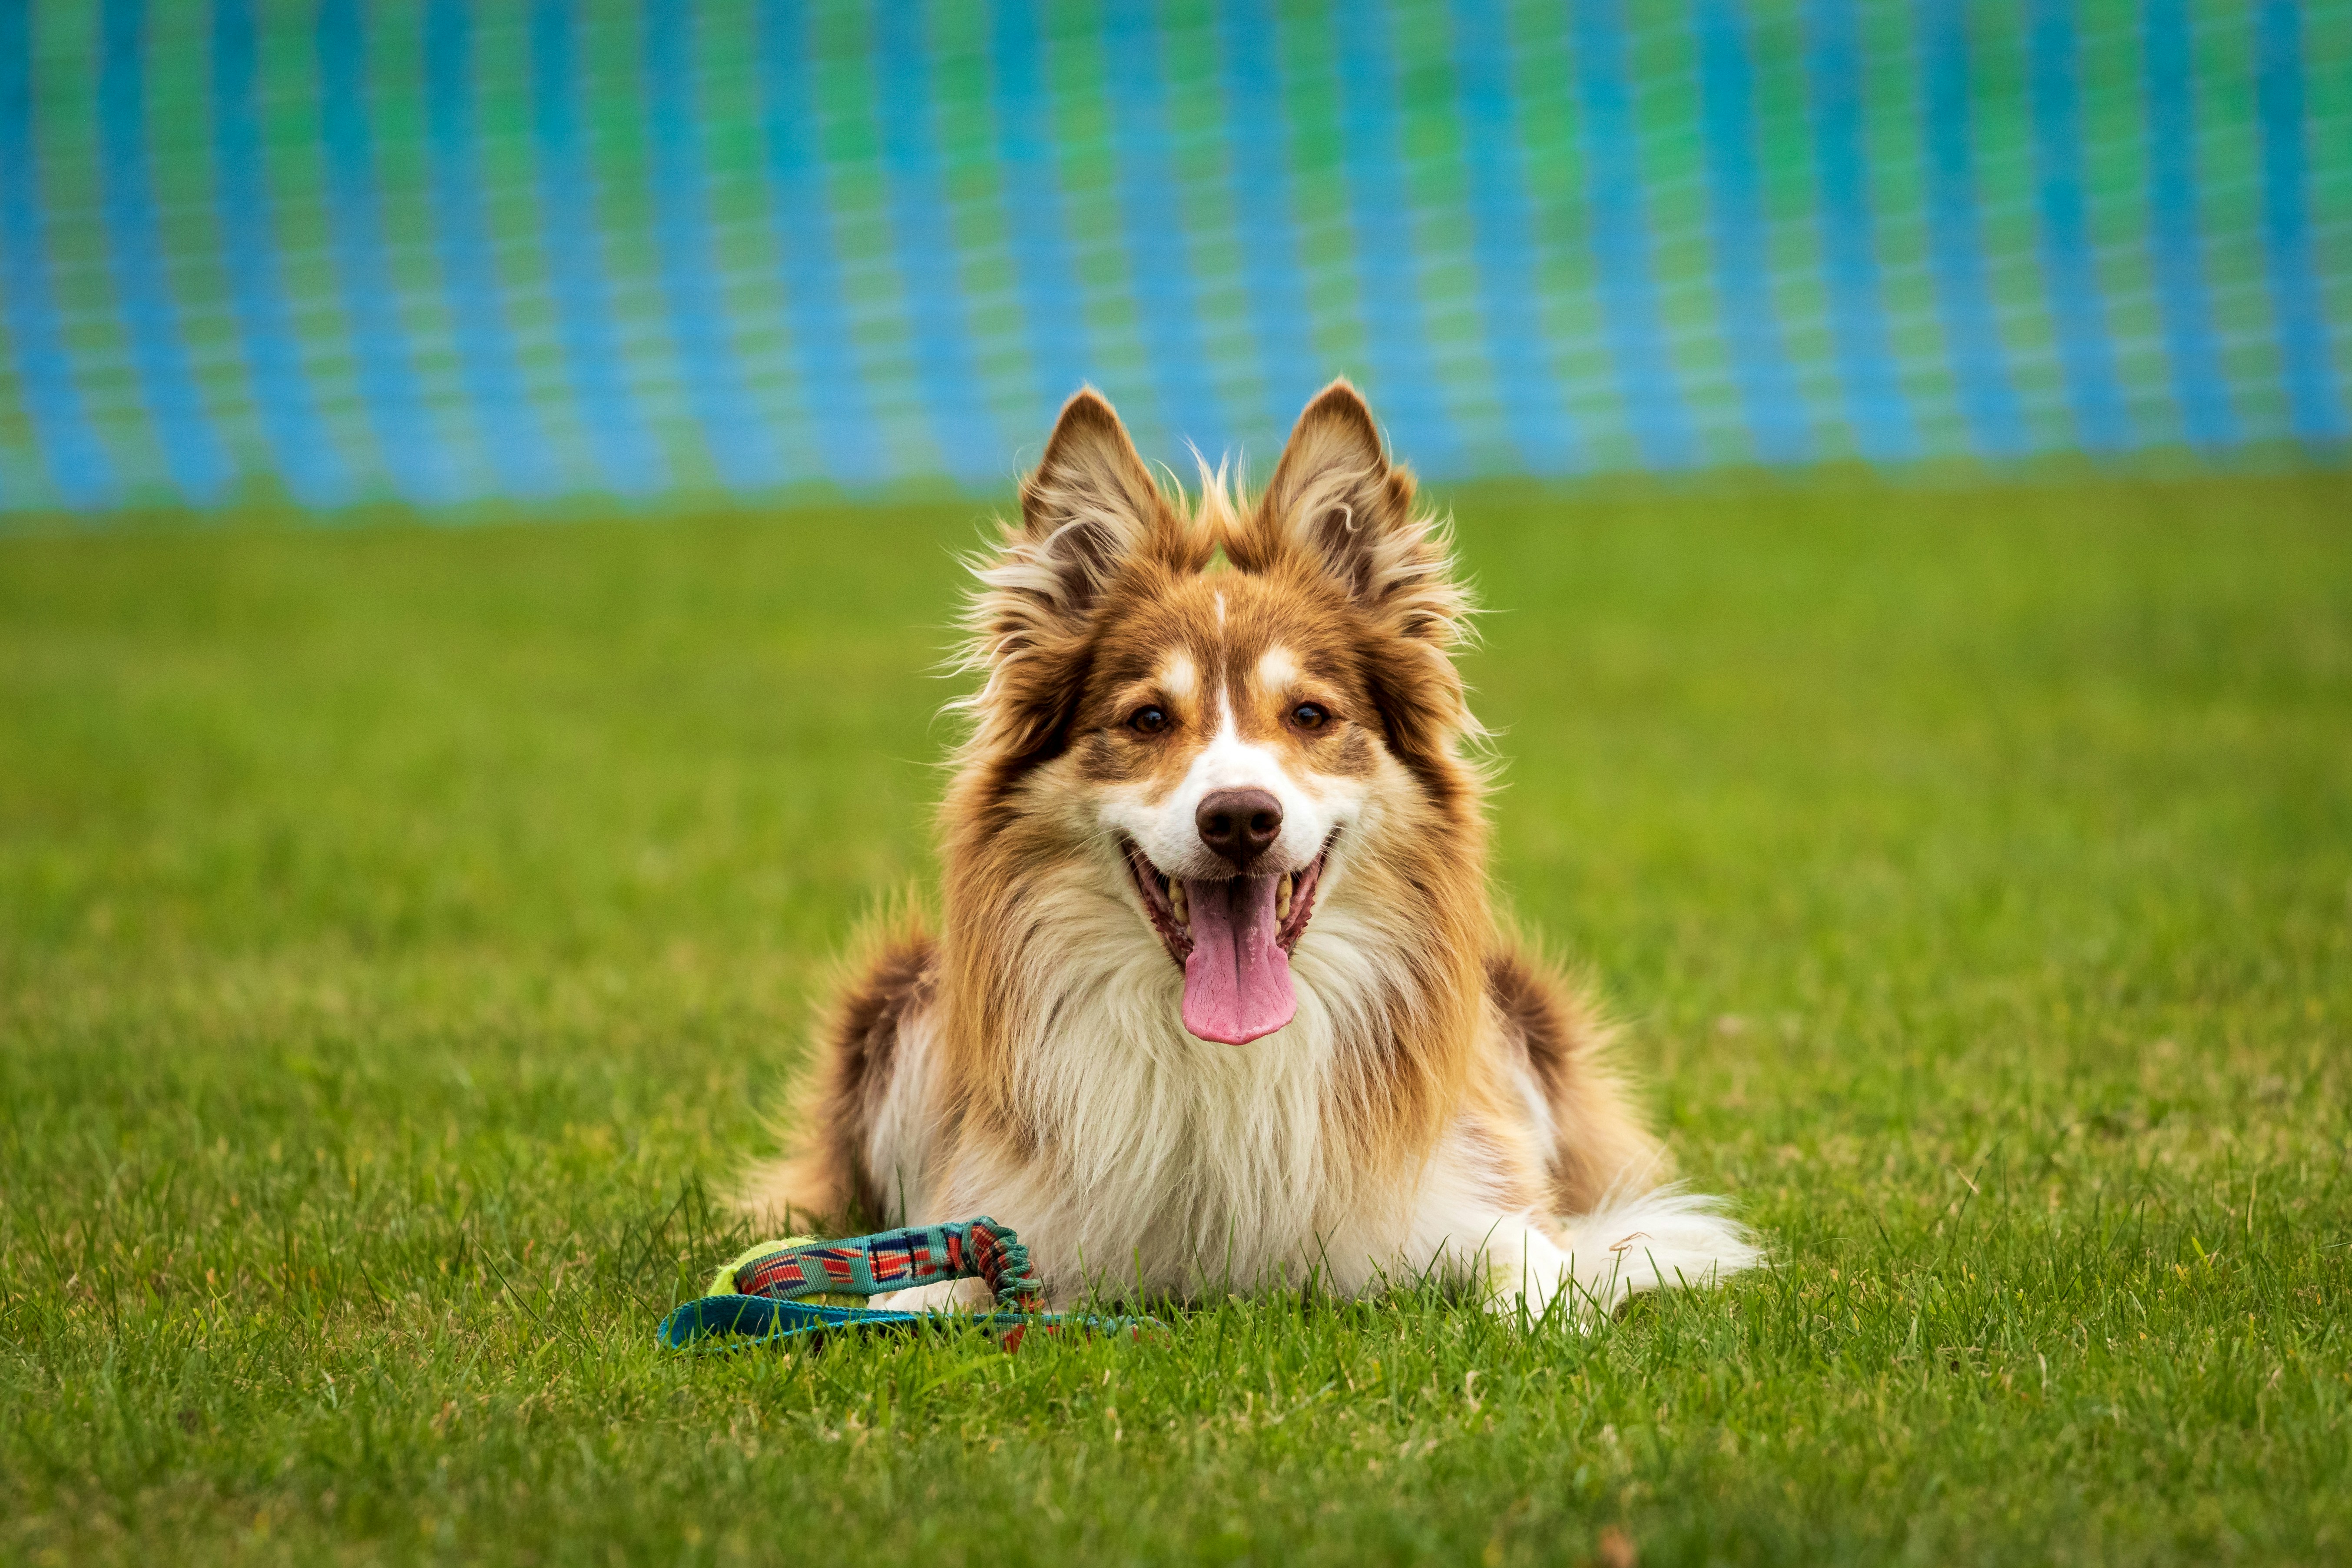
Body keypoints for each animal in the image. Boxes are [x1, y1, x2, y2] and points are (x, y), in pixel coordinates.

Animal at [743, 383, 1759, 1326]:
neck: (1224, 1062)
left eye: (1308, 713)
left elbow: (1538, 1271)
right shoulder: (1006, 1210)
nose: (1238, 819)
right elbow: (921, 1287)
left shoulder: (1469, 1195)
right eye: (1148, 719)